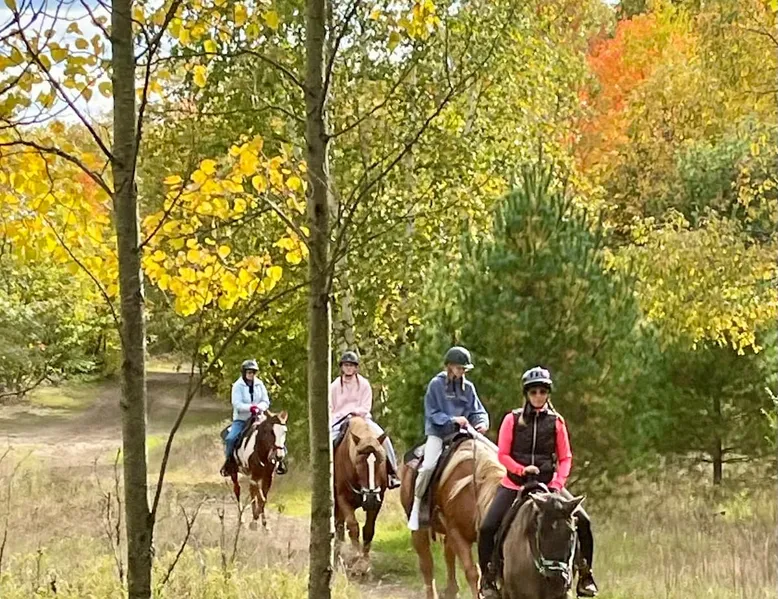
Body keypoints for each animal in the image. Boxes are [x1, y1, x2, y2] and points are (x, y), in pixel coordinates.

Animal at [333, 416, 388, 572]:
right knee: (338, 526)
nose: (370, 498)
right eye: (358, 463)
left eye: (381, 460)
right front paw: (356, 559)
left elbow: (369, 529)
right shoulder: (342, 499)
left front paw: (365, 562)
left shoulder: (378, 500)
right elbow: (353, 526)